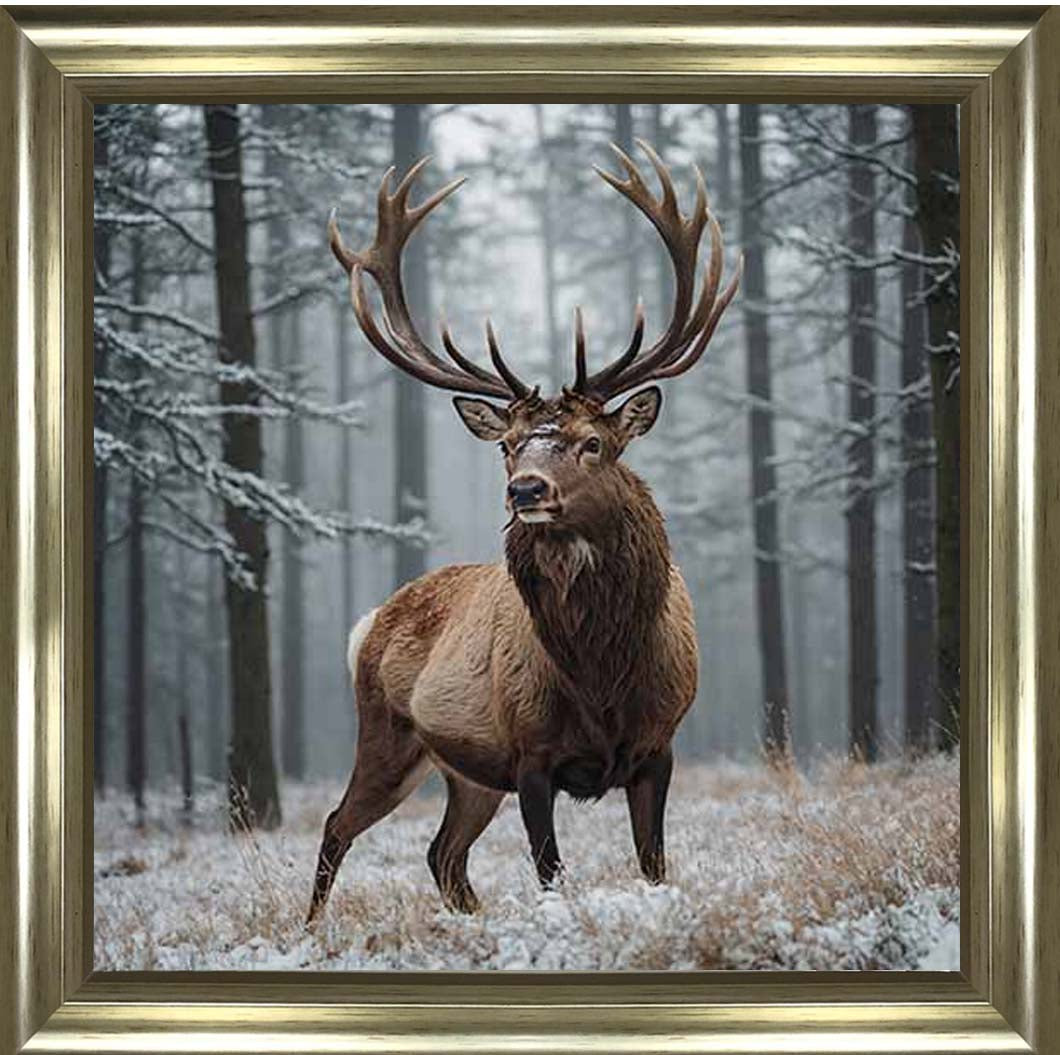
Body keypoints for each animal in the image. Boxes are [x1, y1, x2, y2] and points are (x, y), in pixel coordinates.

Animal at [307, 140, 741, 923]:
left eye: (594, 442)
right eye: (508, 446)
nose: (526, 490)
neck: (602, 676)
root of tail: (370, 621)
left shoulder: (660, 745)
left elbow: (654, 864)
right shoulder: (530, 753)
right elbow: (550, 871)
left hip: (468, 775)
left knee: (442, 854)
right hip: (389, 735)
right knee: (337, 824)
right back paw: (311, 929)